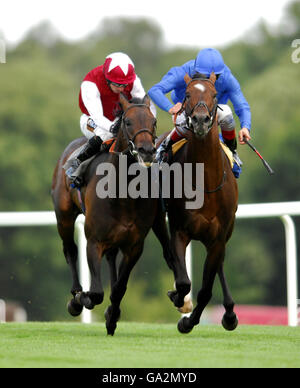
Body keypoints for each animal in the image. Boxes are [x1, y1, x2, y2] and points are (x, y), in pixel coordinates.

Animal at [51, 94, 169, 336]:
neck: (124, 191)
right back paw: (76, 296)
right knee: (70, 250)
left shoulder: (134, 245)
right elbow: (96, 292)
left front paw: (112, 317)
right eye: (128, 122)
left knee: (111, 257)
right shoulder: (93, 241)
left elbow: (119, 288)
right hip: (64, 216)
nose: (146, 150)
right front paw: (83, 298)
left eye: (153, 121)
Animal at [162, 73, 239, 334]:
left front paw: (188, 321)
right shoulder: (179, 230)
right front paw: (179, 301)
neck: (205, 181)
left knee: (220, 265)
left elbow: (205, 290)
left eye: (214, 94)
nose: (200, 120)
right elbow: (184, 282)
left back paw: (230, 313)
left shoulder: (217, 238)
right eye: (187, 94)